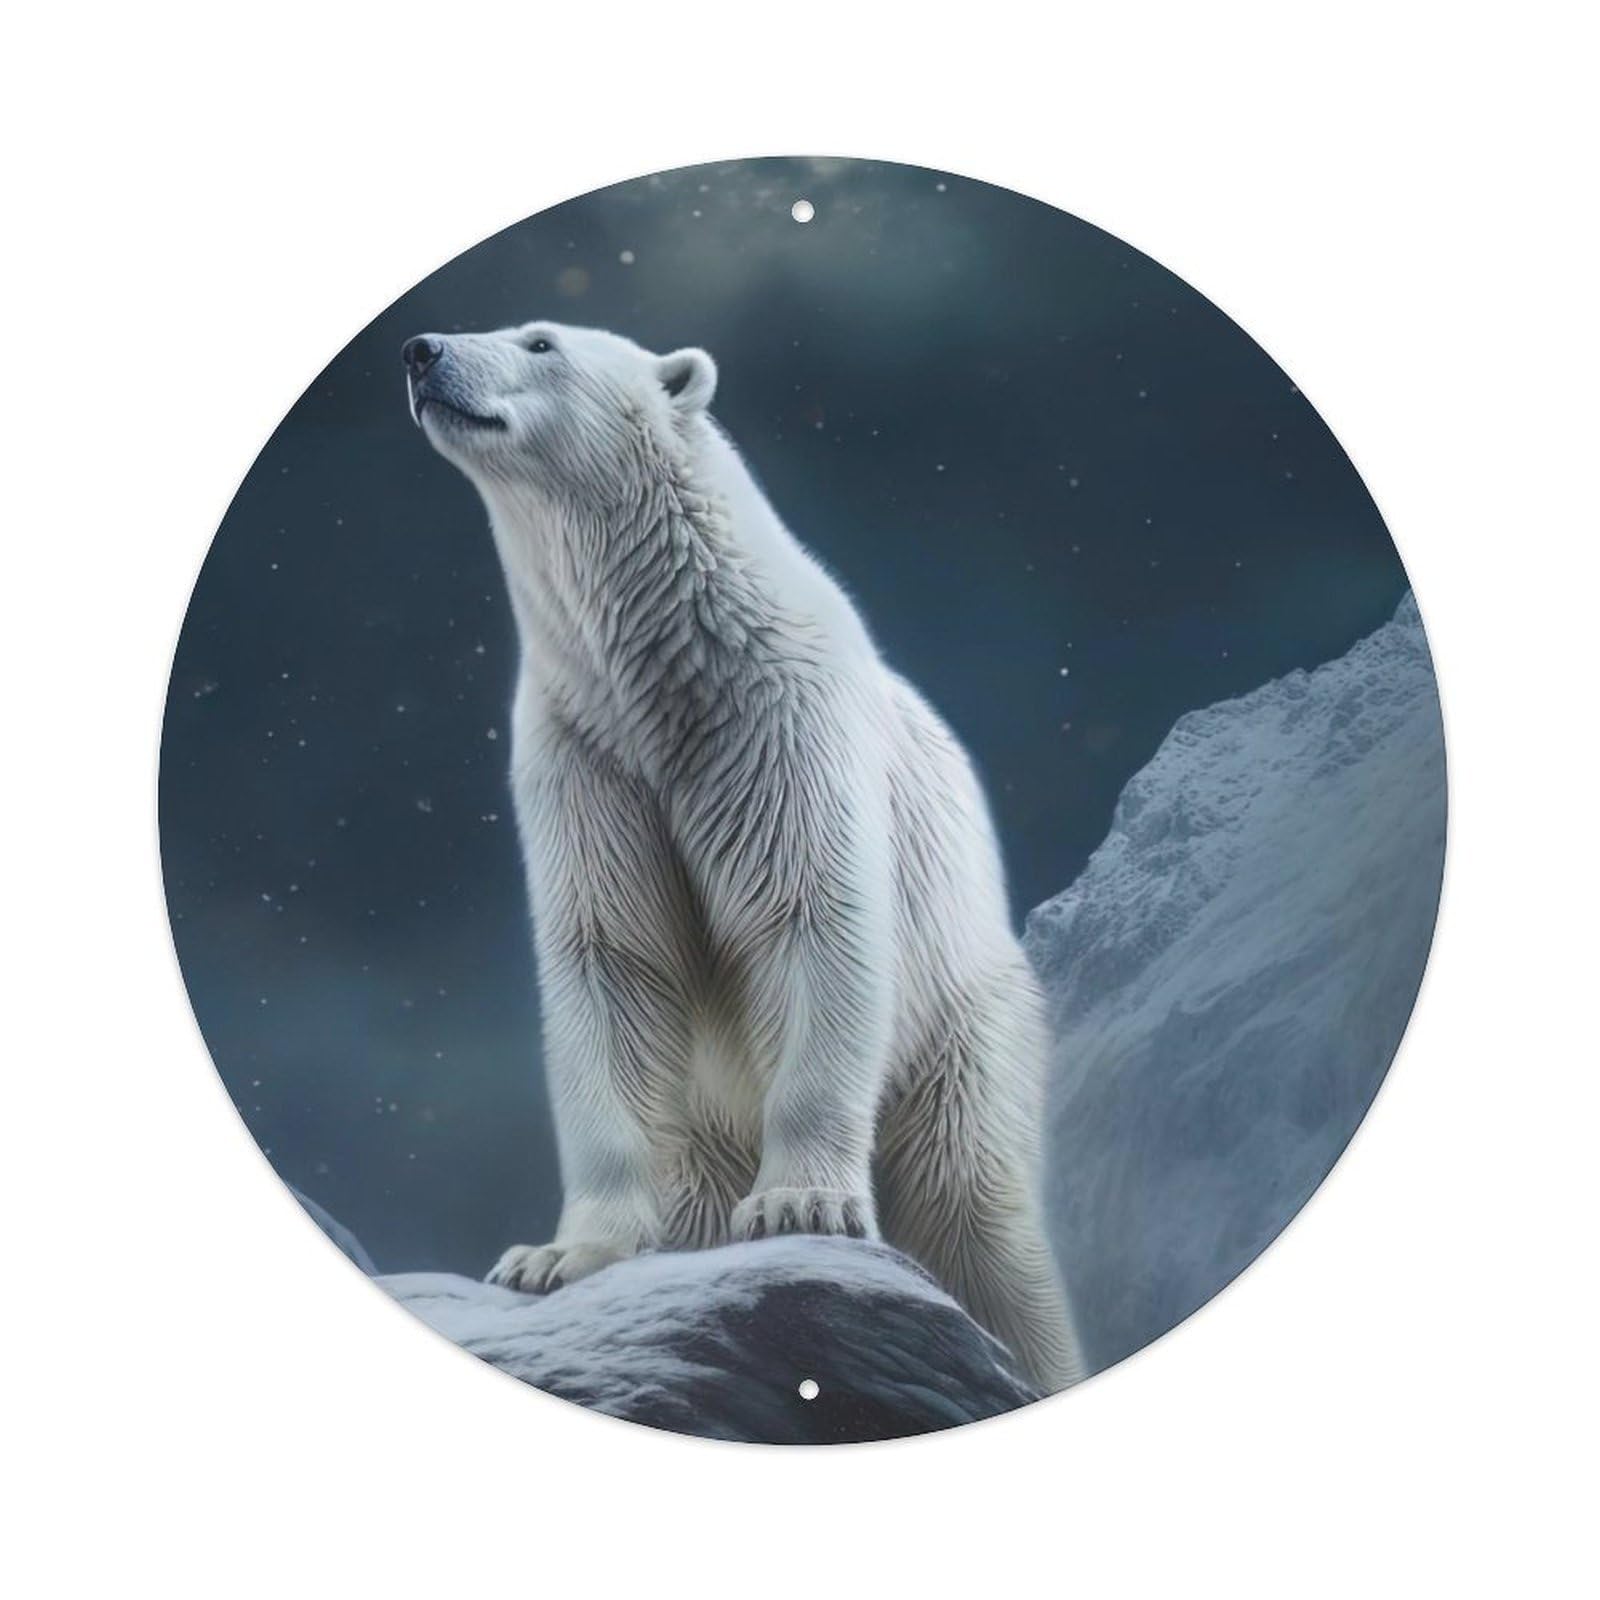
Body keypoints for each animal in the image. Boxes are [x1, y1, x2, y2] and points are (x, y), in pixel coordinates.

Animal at [403, 319, 1084, 1392]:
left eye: (540, 341)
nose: (421, 349)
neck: (667, 662)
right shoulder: (586, 754)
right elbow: (613, 962)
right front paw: (553, 1258)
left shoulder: (776, 721)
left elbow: (811, 918)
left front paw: (801, 1204)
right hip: (711, 1121)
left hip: (963, 1031)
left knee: (981, 1217)